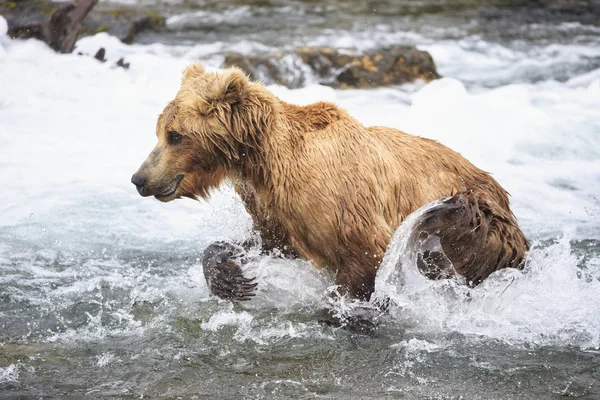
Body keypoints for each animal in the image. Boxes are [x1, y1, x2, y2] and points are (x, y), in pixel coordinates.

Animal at [132, 65, 528, 304]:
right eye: (160, 131)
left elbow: (365, 257)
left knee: (452, 232)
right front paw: (231, 278)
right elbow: (264, 242)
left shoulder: (340, 202)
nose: (139, 179)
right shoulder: (274, 207)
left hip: (483, 221)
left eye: (175, 135)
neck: (265, 162)